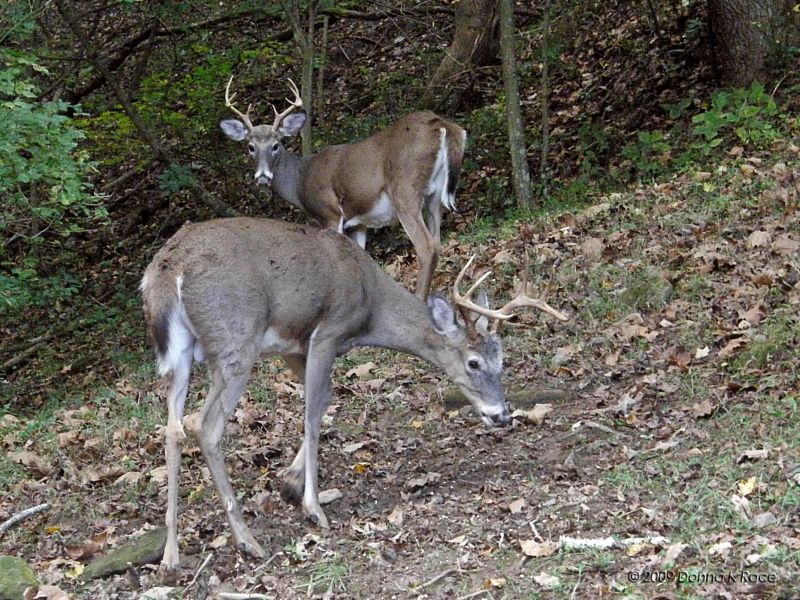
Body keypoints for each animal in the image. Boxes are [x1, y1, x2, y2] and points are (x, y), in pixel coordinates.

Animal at [144, 217, 568, 572]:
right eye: (474, 363)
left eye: (503, 359)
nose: (501, 414)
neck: (370, 304)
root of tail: (167, 269)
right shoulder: (327, 331)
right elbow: (312, 414)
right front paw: (313, 507)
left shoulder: (295, 347)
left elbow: (324, 399)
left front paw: (290, 482)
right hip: (236, 340)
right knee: (203, 424)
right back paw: (247, 541)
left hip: (179, 354)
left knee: (171, 429)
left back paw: (171, 556)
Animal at [220, 76, 468, 298]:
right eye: (250, 146)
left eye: (275, 145)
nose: (262, 176)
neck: (300, 179)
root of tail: (442, 124)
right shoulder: (358, 223)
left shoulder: (330, 213)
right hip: (434, 197)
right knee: (437, 241)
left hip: (405, 190)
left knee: (426, 246)